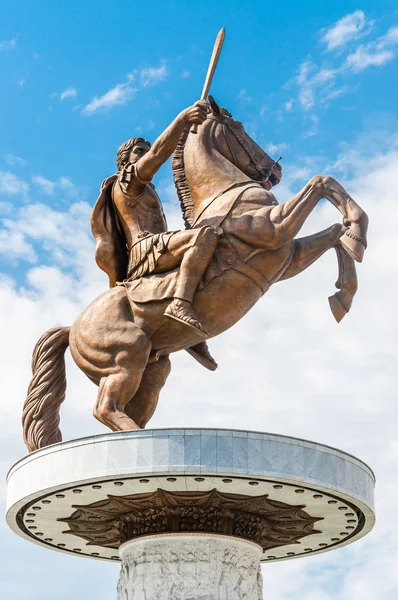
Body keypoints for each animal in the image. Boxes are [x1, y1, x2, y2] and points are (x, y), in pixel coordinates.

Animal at [22, 97, 366, 450]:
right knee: (106, 408)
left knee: (127, 411)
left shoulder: (286, 258)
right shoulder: (273, 227)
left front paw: (345, 286)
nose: (276, 170)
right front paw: (359, 227)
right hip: (127, 357)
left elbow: (334, 236)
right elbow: (321, 182)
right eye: (240, 127)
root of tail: (72, 329)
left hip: (153, 370)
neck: (222, 191)